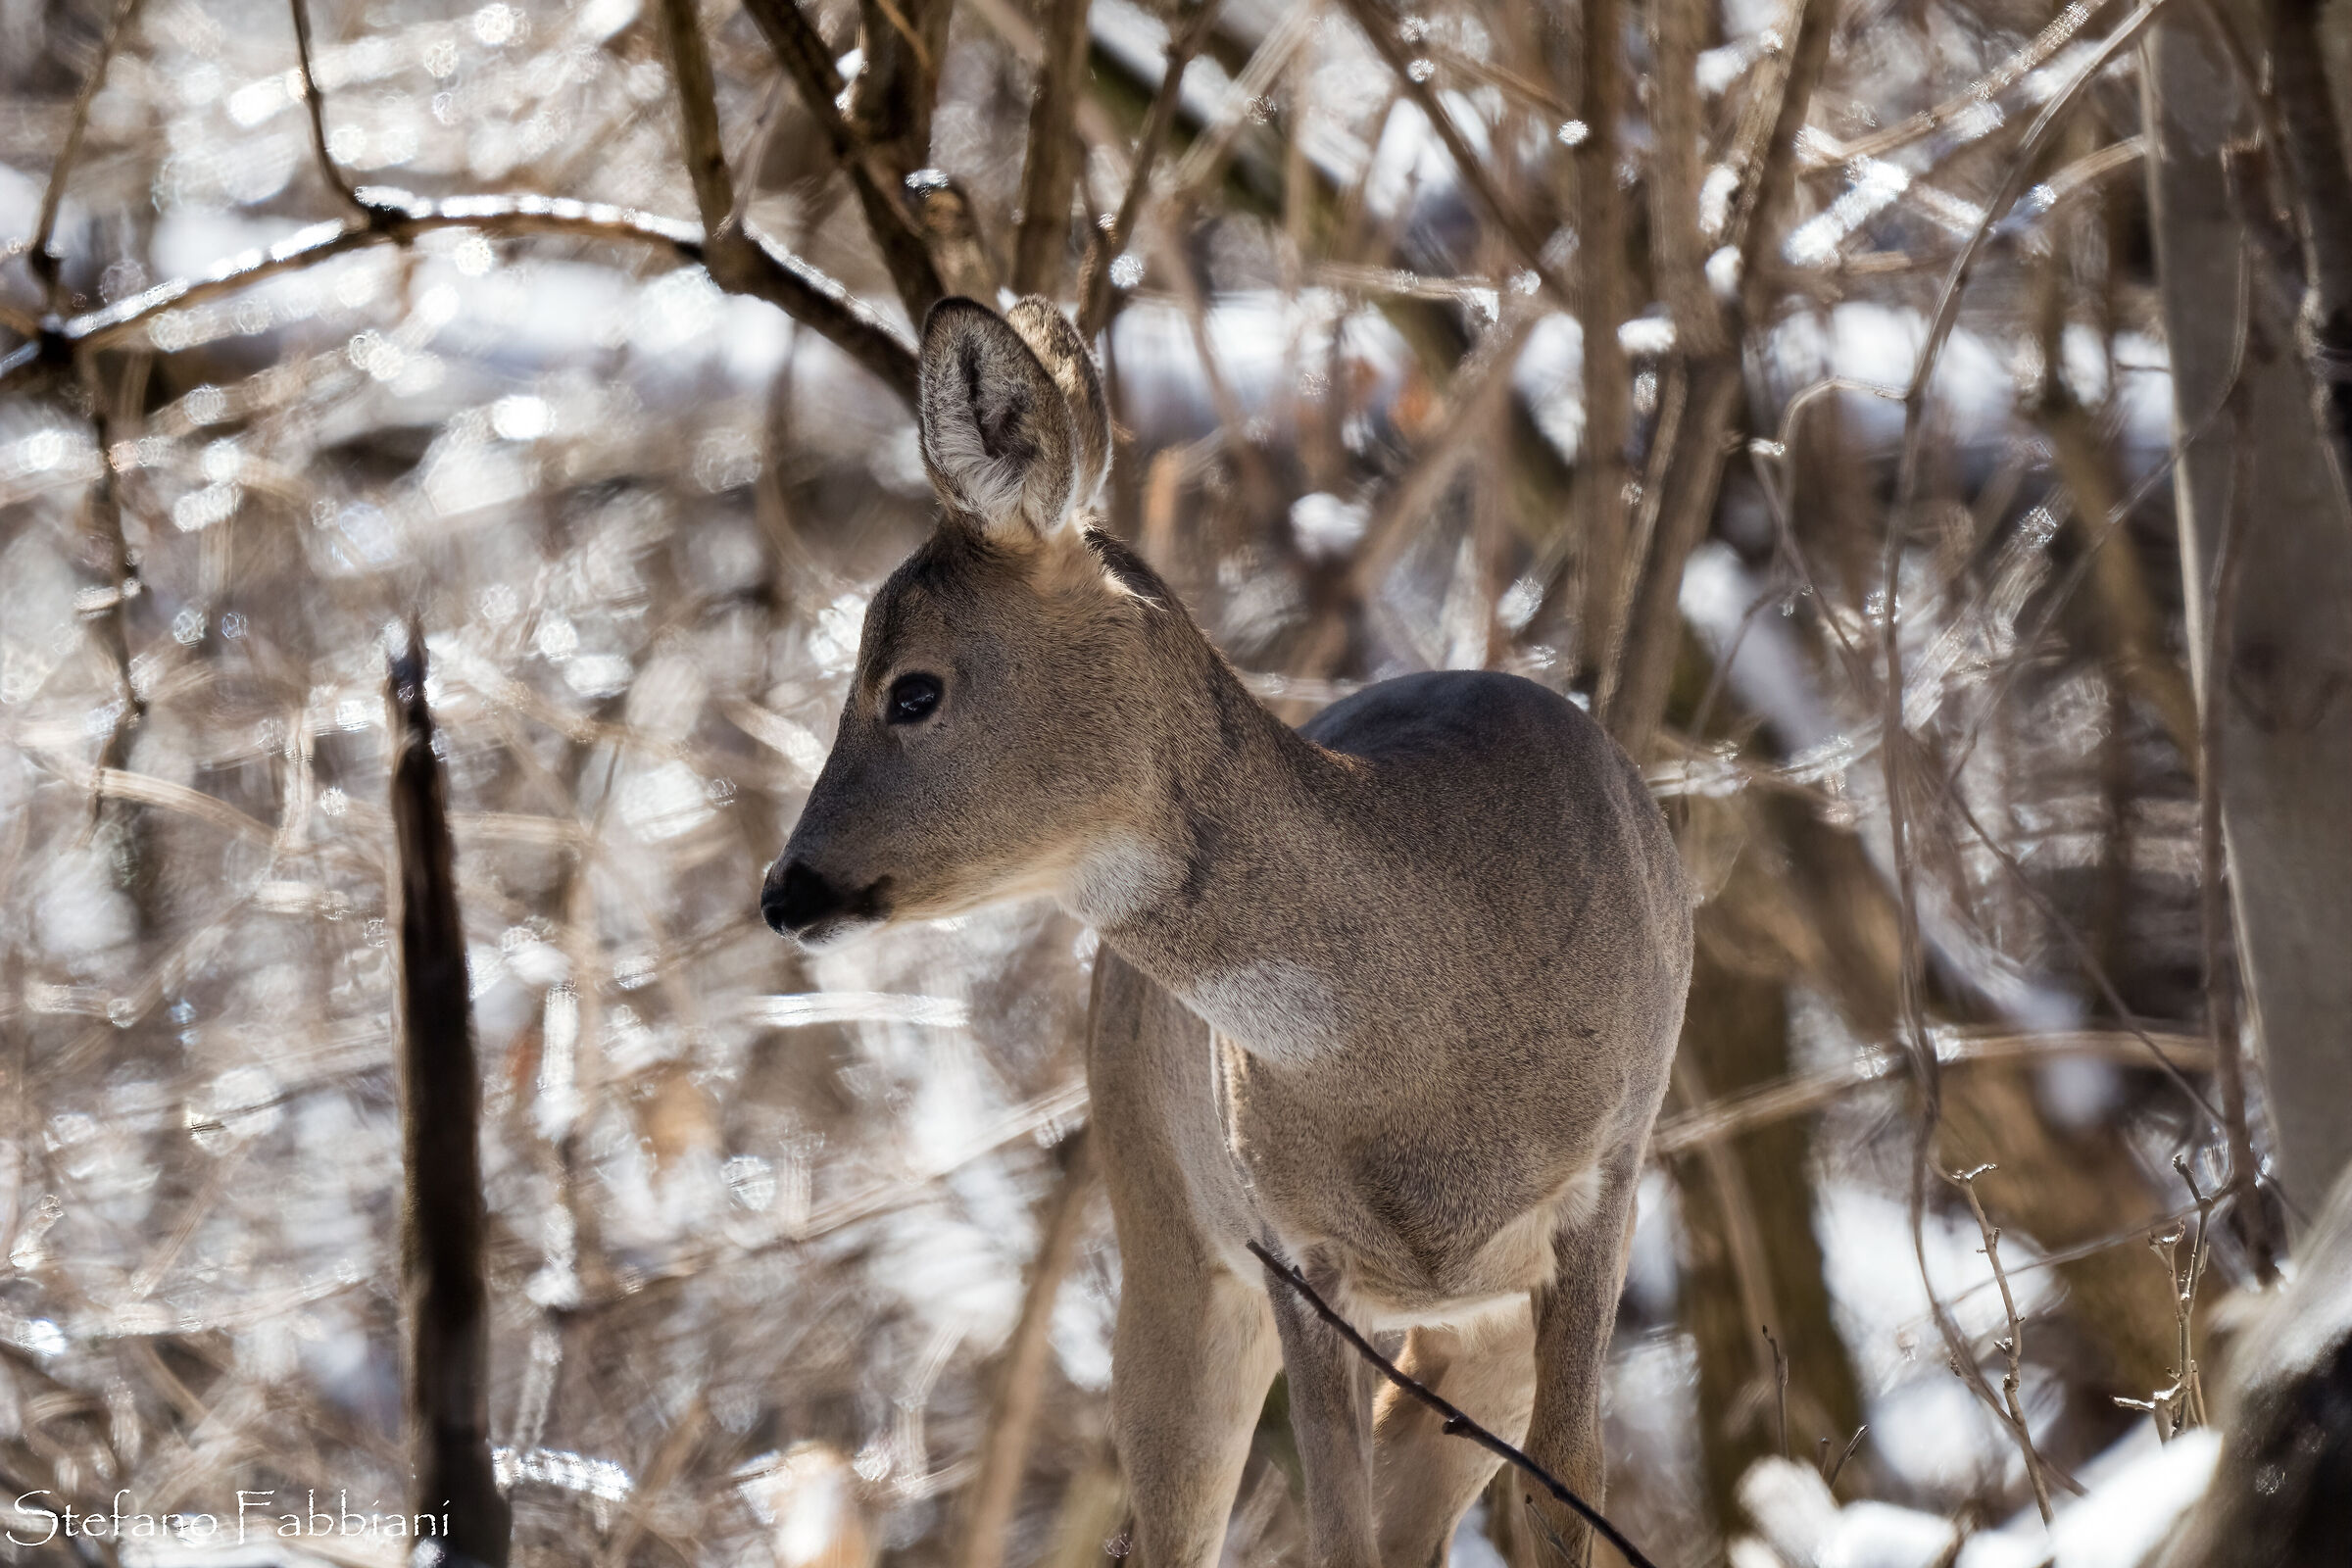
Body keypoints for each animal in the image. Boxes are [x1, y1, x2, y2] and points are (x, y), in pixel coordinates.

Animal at [760, 295, 1693, 1567]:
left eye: (913, 688)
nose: (784, 887)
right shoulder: (1286, 1246)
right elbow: (1339, 1531)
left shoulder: (1609, 1183)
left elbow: (1564, 1495)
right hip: (1172, 1242)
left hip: (1471, 1311)